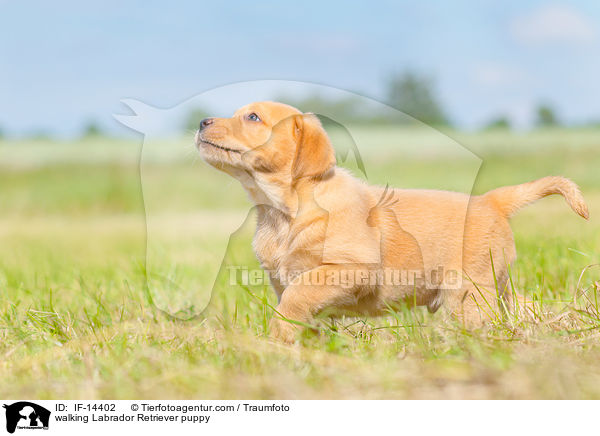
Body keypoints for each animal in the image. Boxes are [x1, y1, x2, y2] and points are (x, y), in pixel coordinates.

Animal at [196, 102, 584, 344]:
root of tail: (491, 200)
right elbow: (302, 309)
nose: (201, 121)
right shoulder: (282, 278)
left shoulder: (350, 269)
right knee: (522, 305)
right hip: (494, 287)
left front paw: (278, 337)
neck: (282, 211)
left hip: (468, 292)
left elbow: (296, 297)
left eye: (253, 118)